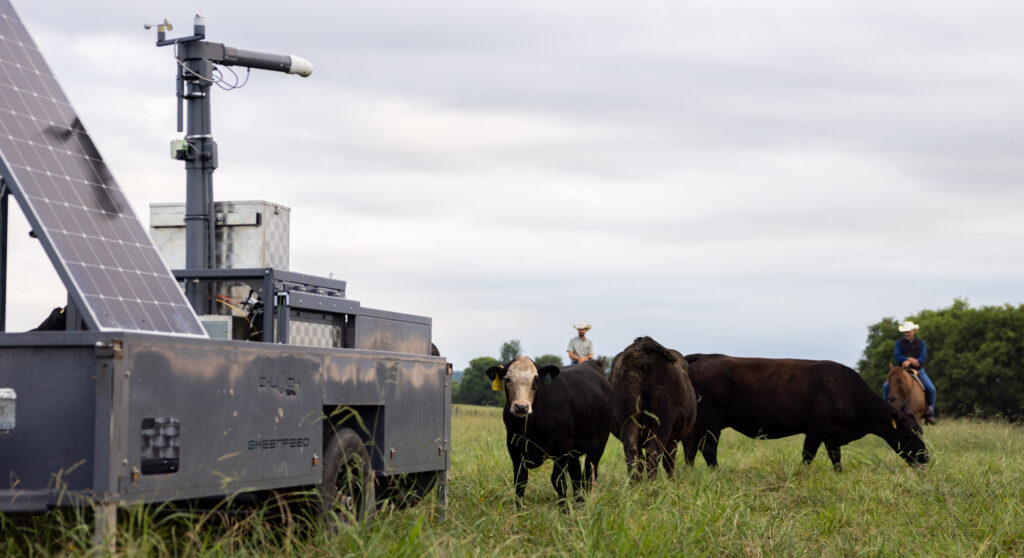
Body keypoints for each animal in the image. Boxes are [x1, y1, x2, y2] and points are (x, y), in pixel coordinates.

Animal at [485, 356, 613, 509]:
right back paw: (578, 503)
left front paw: (565, 511)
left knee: (589, 476)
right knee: (576, 476)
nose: (521, 407)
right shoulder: (514, 447)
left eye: (536, 380)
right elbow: (520, 480)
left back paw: (583, 504)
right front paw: (519, 511)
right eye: (508, 379)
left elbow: (558, 481)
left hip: (598, 446)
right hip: (574, 452)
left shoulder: (561, 449)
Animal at [609, 336, 697, 481]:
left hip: (628, 419)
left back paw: (635, 483)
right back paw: (652, 483)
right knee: (653, 453)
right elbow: (669, 462)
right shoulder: (673, 438)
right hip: (662, 423)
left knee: (632, 453)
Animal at [682, 354, 929, 471]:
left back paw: (690, 473)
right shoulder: (816, 429)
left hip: (697, 423)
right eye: (908, 433)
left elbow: (836, 458)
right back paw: (716, 473)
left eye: (920, 431)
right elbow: (807, 456)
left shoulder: (833, 435)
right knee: (707, 448)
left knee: (690, 448)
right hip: (711, 423)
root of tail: (702, 357)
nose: (926, 458)